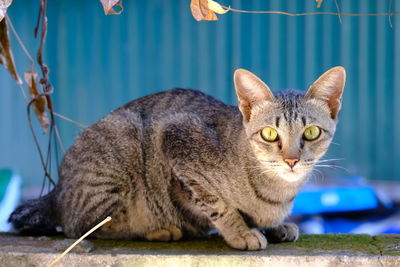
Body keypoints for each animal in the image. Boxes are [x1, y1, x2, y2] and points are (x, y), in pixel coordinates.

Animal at [10, 67, 346, 251]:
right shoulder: (176, 141)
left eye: (311, 132)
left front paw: (276, 226)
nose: (291, 160)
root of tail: (57, 190)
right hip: (124, 138)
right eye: (269, 134)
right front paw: (240, 231)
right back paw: (159, 230)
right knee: (81, 226)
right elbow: (218, 205)